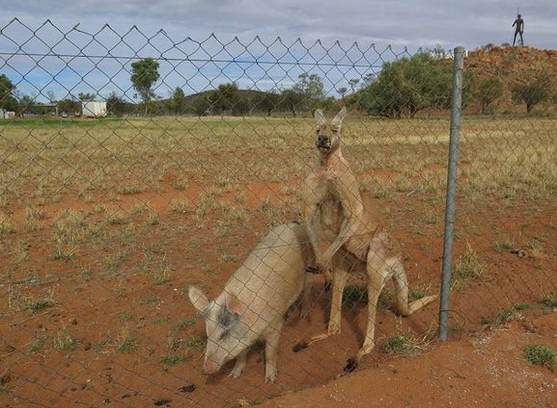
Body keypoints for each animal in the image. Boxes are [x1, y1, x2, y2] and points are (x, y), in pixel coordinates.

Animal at [187, 222, 312, 380]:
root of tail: (294, 224)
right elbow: (241, 354)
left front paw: (270, 380)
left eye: (223, 334)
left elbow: (270, 352)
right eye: (208, 334)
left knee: (307, 292)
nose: (206, 370)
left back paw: (303, 314)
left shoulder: (275, 325)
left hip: (309, 268)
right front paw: (234, 375)